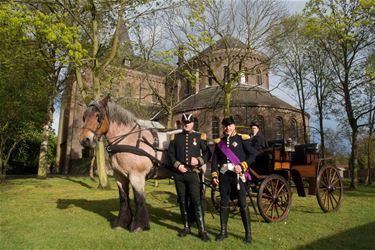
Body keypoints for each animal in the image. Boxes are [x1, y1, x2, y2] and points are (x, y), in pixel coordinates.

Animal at [78, 96, 178, 232]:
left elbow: (138, 198)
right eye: (84, 116)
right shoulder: (120, 177)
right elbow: (124, 198)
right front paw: (121, 223)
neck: (128, 140)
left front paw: (139, 225)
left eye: (98, 116)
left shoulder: (137, 176)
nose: (84, 140)